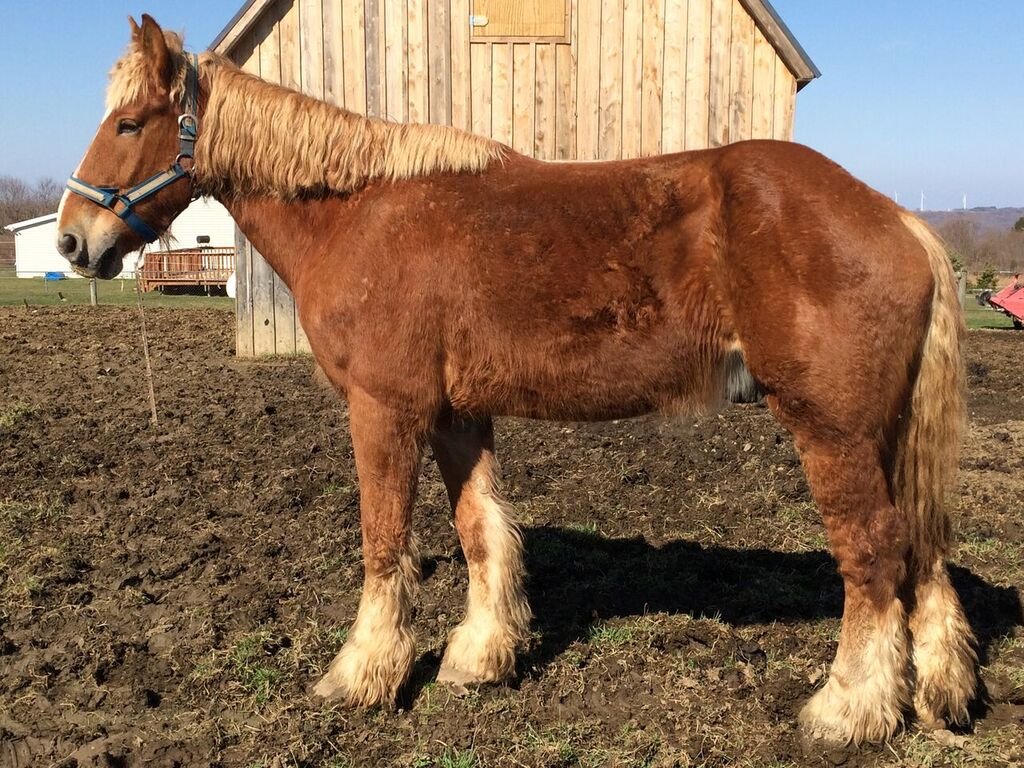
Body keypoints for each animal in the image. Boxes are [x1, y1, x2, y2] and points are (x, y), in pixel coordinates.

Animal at [57, 15, 977, 744]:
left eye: (130, 122)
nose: (72, 242)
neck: (357, 212)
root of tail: (896, 218)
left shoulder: (383, 411)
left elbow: (384, 541)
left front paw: (361, 674)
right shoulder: (457, 416)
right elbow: (478, 530)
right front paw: (477, 657)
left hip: (834, 432)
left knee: (873, 553)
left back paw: (848, 710)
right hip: (887, 435)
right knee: (923, 549)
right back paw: (939, 693)